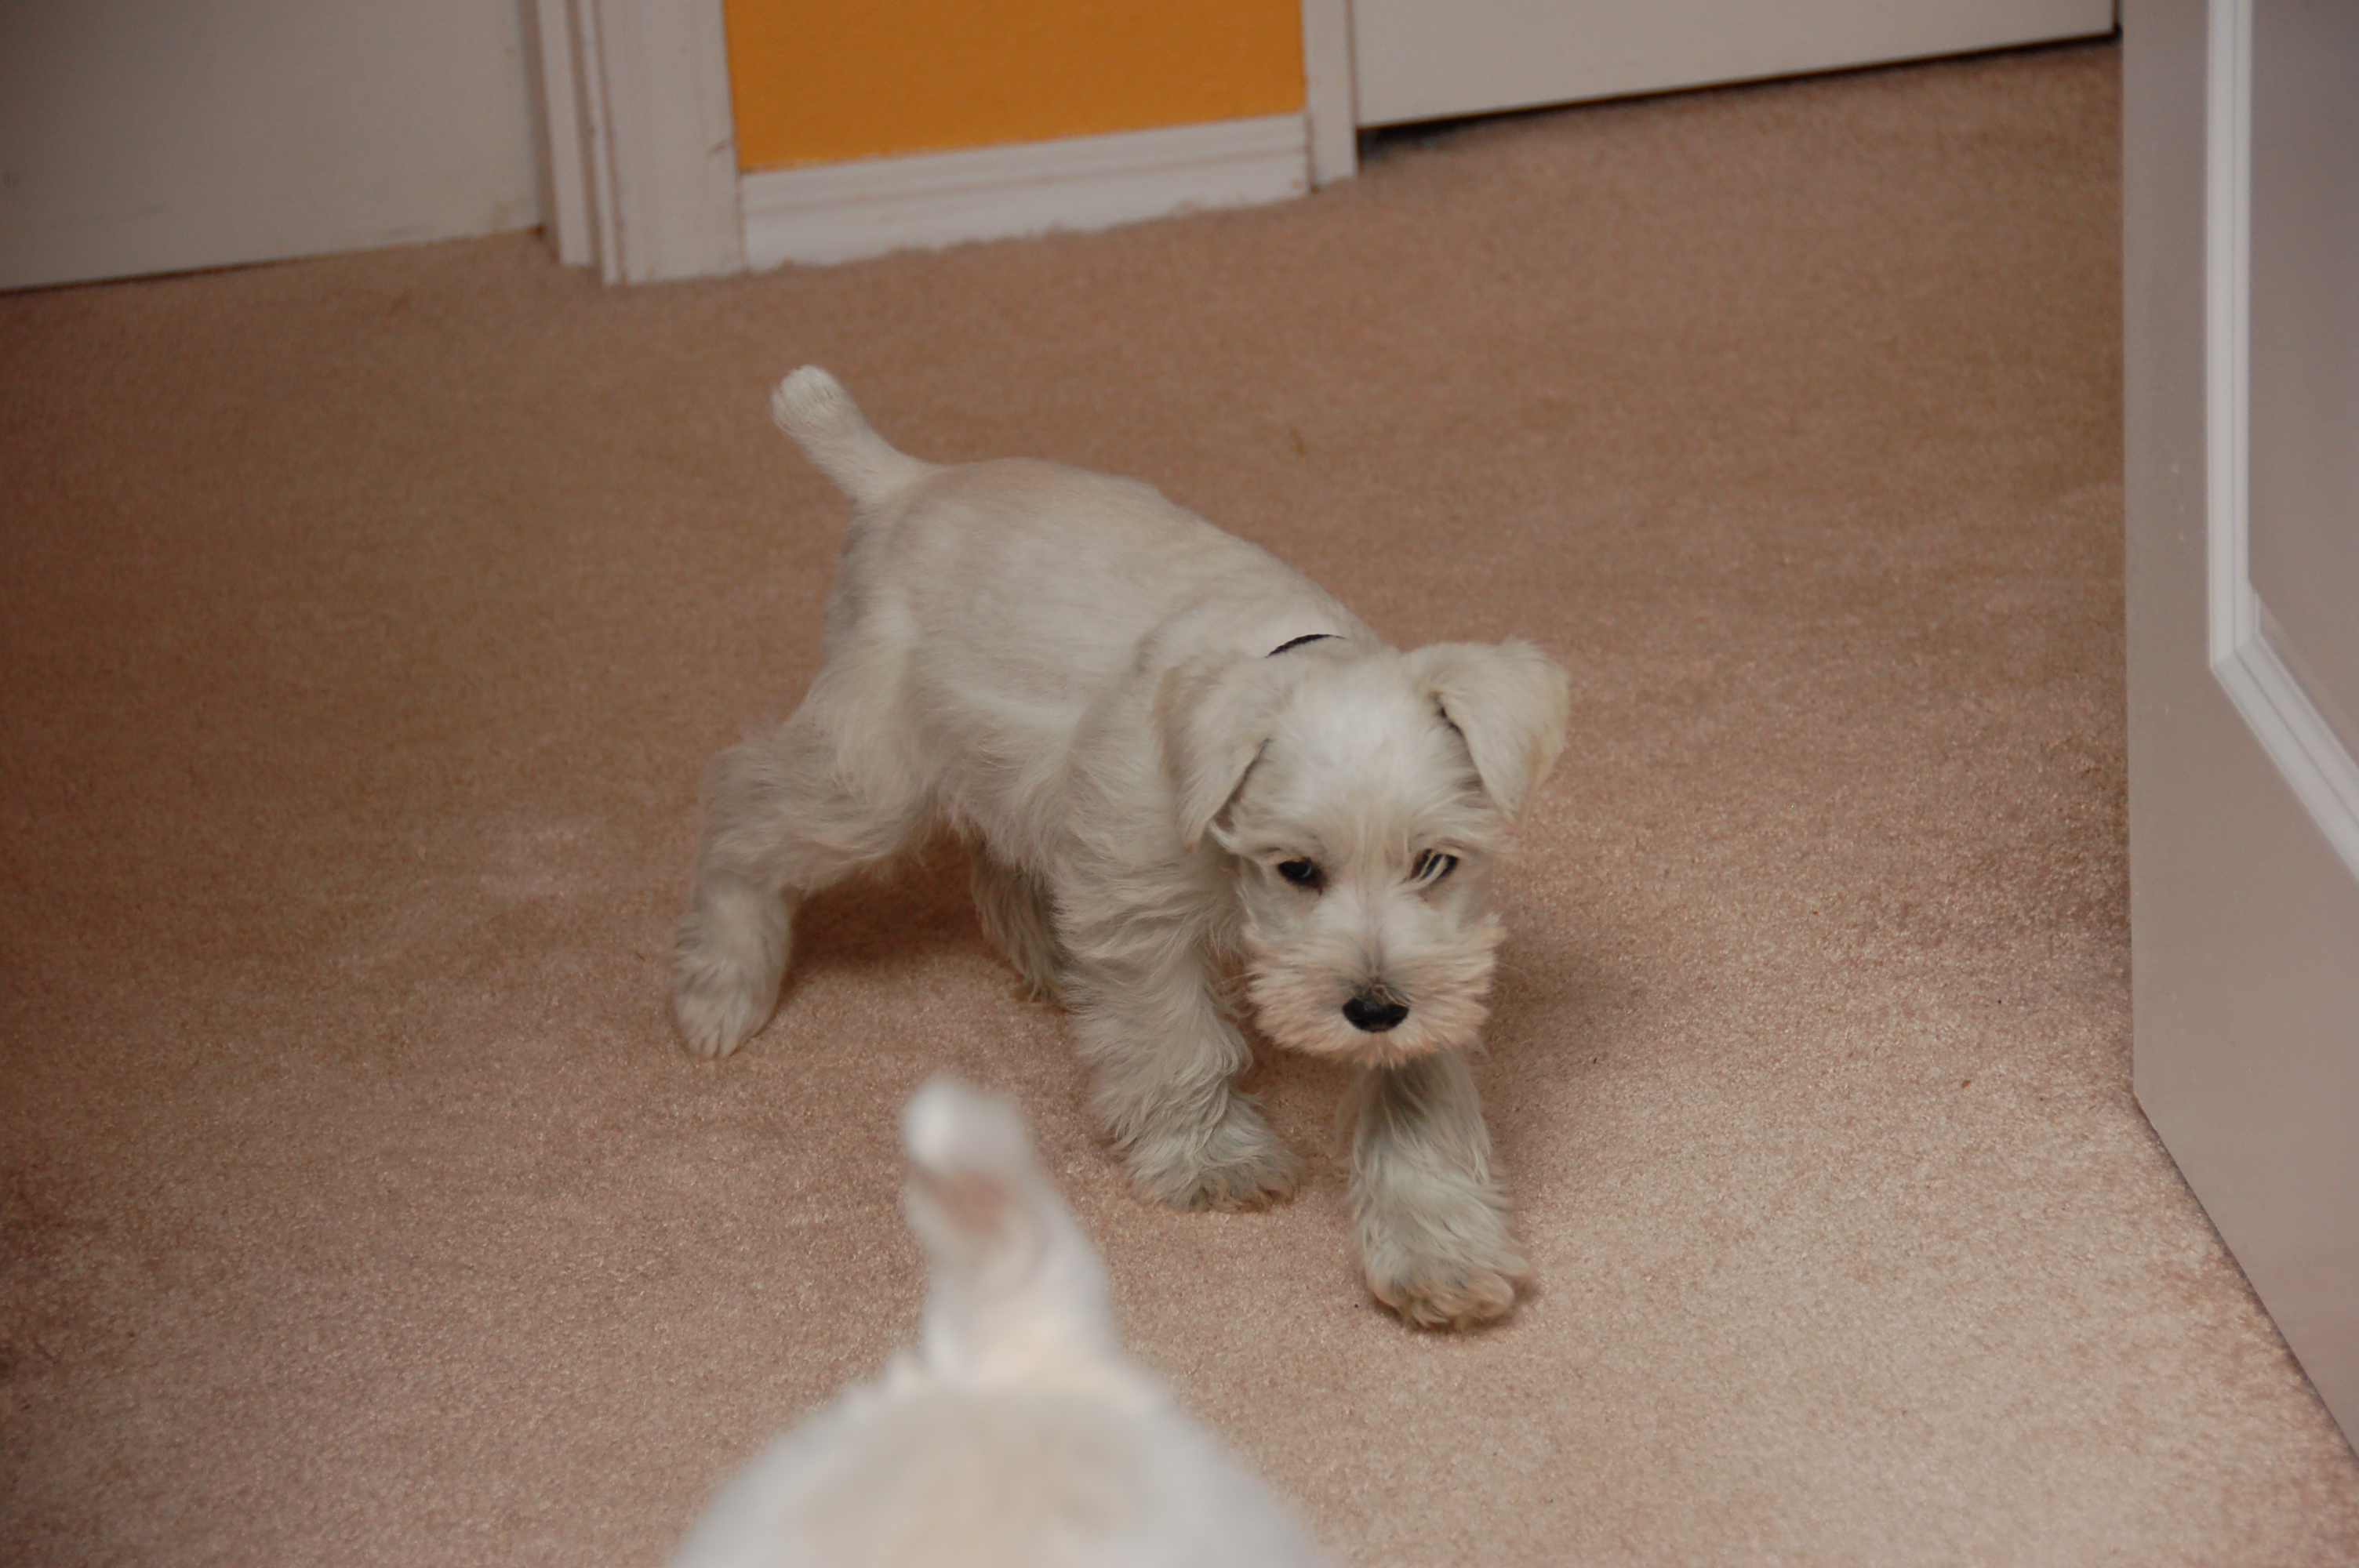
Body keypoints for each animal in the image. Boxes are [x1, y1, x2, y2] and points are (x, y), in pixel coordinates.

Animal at [673, 369, 1569, 1328]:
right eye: (1295, 869)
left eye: (1435, 863)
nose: (1372, 1009)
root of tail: (902, 482)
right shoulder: (1141, 920)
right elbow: (1176, 1041)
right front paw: (1213, 1159)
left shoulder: (1436, 968)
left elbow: (1415, 1105)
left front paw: (1438, 1252)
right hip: (870, 785)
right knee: (740, 811)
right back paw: (720, 988)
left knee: (999, 860)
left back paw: (1046, 960)